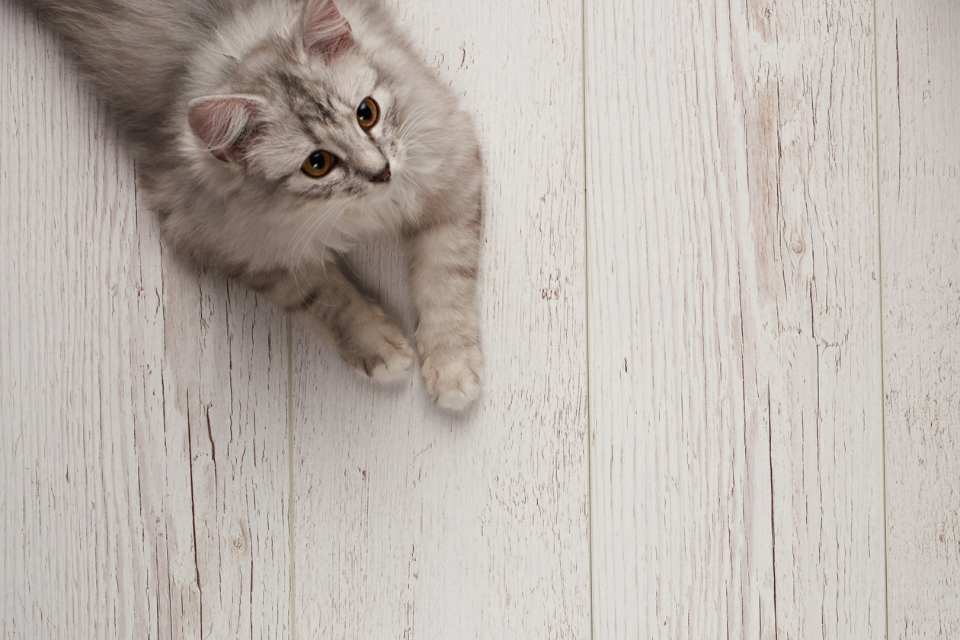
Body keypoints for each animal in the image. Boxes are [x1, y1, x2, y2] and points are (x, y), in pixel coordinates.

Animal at [28, 0, 488, 410]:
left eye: (366, 113)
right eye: (317, 164)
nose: (382, 172)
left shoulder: (451, 175)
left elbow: (443, 285)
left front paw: (451, 371)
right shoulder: (238, 246)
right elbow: (331, 297)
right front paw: (379, 348)